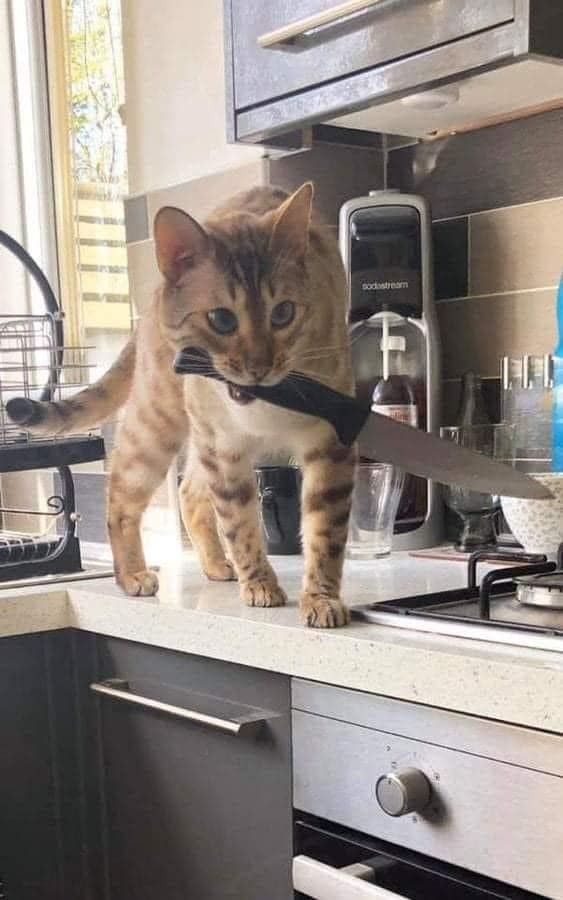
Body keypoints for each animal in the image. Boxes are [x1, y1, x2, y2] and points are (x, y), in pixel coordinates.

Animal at [9, 185, 356, 624]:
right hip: (158, 427)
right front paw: (260, 585)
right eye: (222, 320)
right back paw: (133, 575)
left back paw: (216, 565)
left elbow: (325, 532)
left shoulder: (329, 443)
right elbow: (241, 526)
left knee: (189, 493)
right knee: (120, 497)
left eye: (283, 313)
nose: (259, 367)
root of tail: (151, 303)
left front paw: (320, 599)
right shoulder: (224, 449)